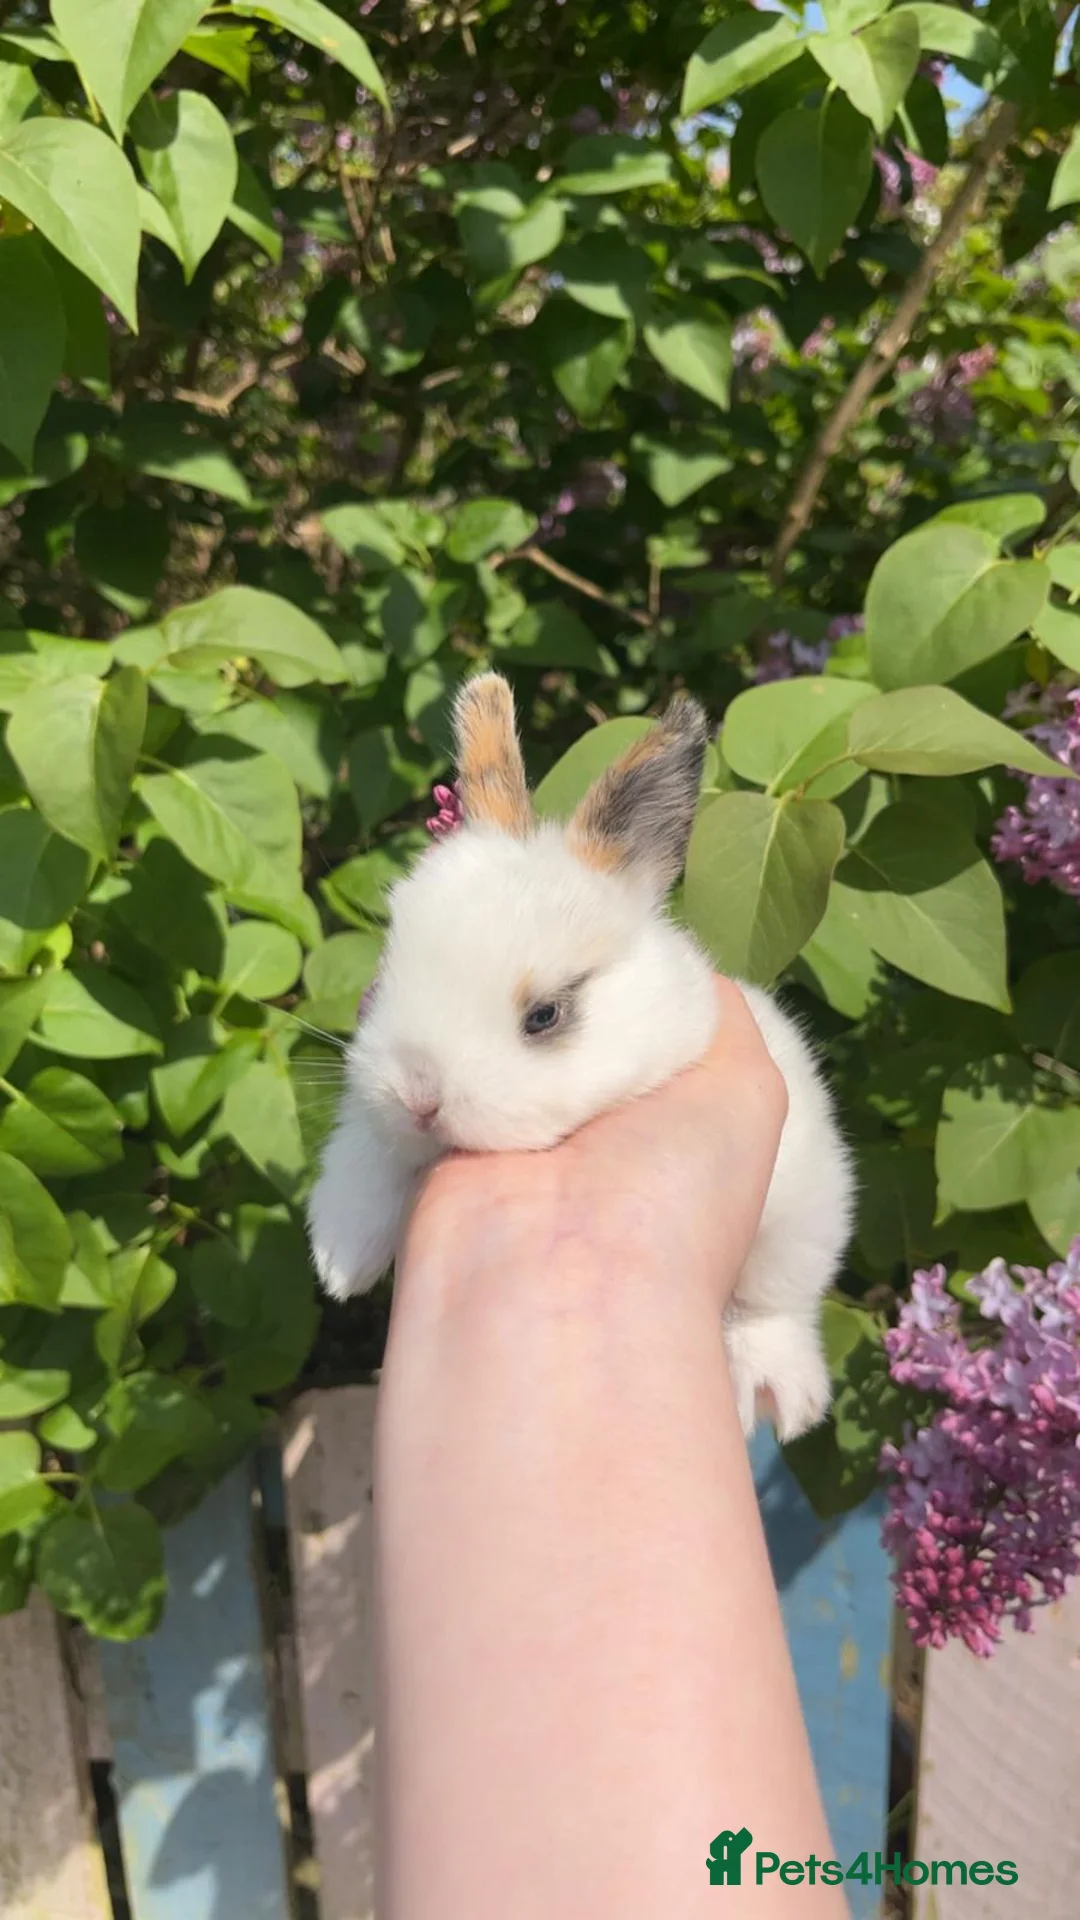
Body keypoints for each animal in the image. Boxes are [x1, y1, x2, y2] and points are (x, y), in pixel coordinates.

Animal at [307, 671, 854, 1441]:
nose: (419, 1097)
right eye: (388, 971)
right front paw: (340, 1258)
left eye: (545, 1015)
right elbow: (363, 1155)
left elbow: (772, 1298)